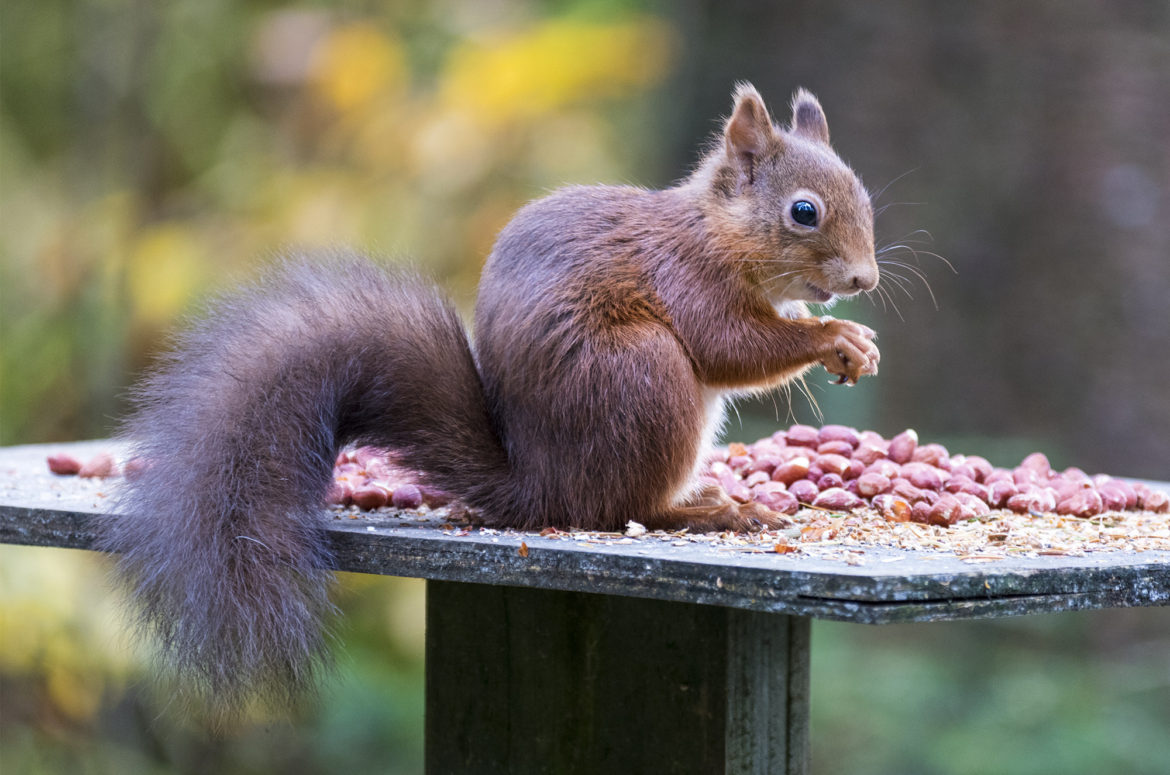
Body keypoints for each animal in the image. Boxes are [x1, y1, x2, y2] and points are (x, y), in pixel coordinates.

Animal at [98, 83, 880, 713]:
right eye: (803, 211)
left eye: (865, 197)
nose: (865, 280)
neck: (719, 232)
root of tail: (537, 485)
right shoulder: (687, 278)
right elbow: (731, 347)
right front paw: (836, 337)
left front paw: (851, 341)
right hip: (644, 377)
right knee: (620, 509)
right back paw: (713, 509)